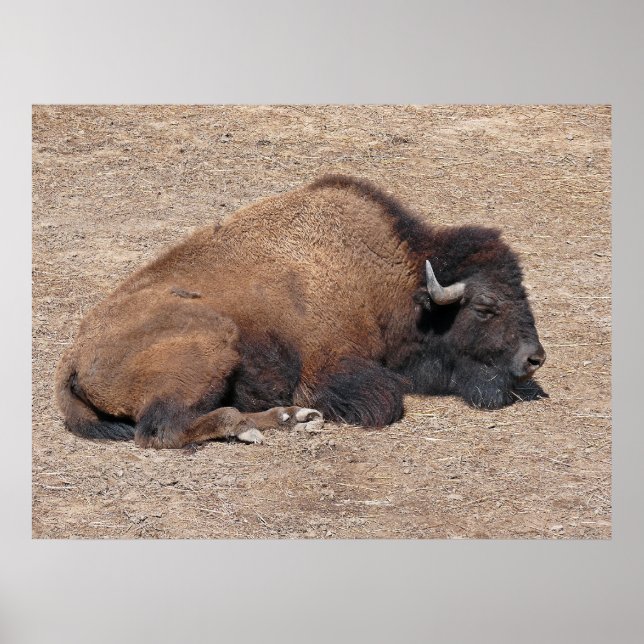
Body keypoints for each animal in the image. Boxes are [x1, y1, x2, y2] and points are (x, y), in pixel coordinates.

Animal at [55, 175, 546, 448]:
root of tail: (72, 357)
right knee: (163, 430)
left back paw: (291, 419)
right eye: (485, 305)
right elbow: (385, 398)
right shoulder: (328, 368)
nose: (534, 358)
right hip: (214, 342)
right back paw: (261, 426)